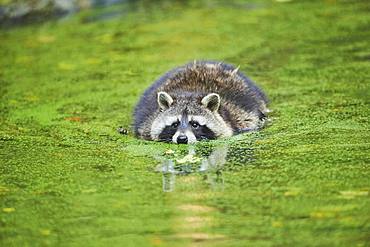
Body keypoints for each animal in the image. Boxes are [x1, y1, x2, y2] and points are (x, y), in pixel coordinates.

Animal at [133, 60, 268, 144]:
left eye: (195, 124)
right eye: (175, 124)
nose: (182, 139)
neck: (190, 93)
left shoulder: (242, 117)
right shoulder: (146, 123)